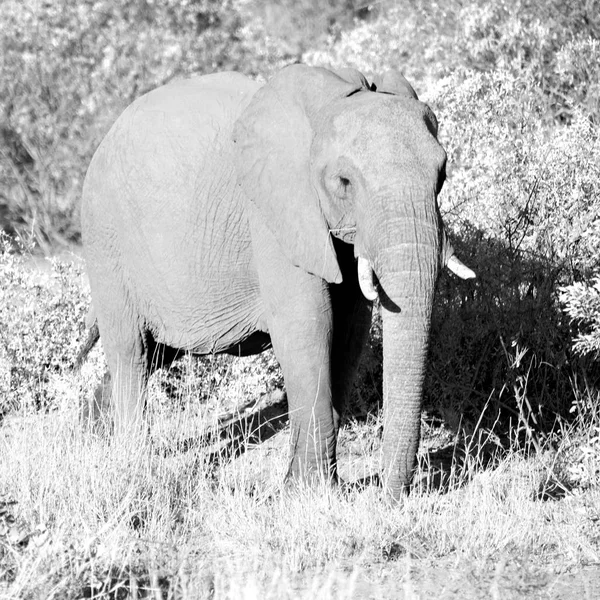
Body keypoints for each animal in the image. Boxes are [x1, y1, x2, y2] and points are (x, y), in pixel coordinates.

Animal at [78, 63, 474, 500]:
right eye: (344, 182)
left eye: (442, 175)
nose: (386, 497)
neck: (329, 103)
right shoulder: (273, 212)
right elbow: (309, 327)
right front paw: (311, 494)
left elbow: (349, 332)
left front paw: (301, 488)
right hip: (105, 240)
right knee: (131, 351)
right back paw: (131, 465)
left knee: (153, 354)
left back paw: (87, 438)